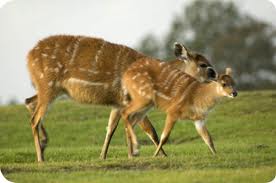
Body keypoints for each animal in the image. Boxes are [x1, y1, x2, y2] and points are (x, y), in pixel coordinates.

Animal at [24, 34, 217, 162]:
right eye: (203, 64)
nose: (216, 76)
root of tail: (28, 56)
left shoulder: (117, 104)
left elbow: (111, 128)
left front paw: (103, 156)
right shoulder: (129, 99)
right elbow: (150, 130)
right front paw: (151, 154)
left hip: (51, 89)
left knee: (29, 102)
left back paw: (44, 145)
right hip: (48, 85)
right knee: (34, 118)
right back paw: (41, 157)